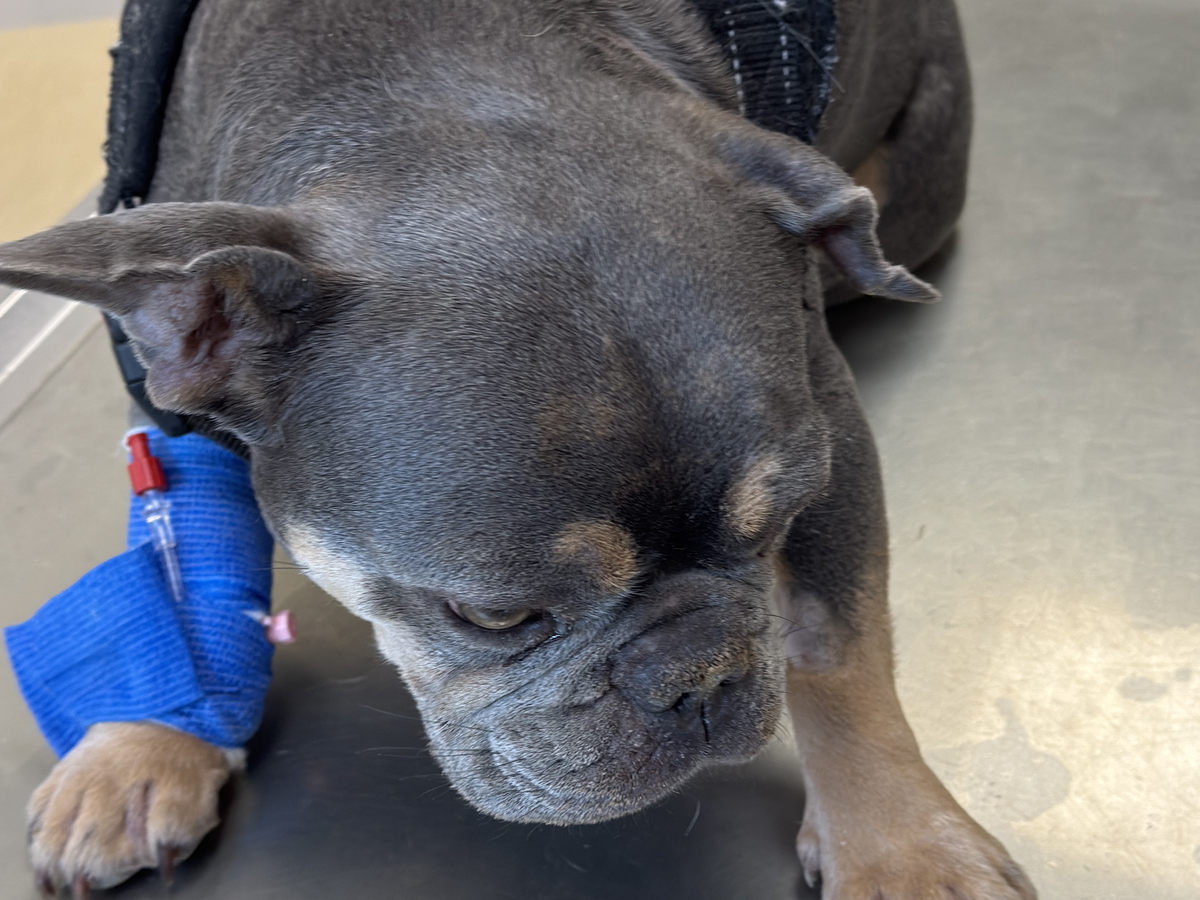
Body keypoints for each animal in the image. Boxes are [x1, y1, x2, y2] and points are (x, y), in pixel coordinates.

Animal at [0, 0, 1038, 897]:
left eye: (776, 526)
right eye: (491, 617)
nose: (699, 672)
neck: (421, 85)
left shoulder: (829, 416)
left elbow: (837, 639)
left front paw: (902, 850)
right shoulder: (174, 410)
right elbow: (174, 568)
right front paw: (141, 740)